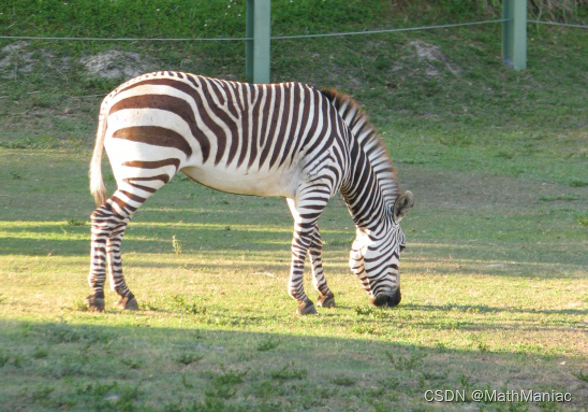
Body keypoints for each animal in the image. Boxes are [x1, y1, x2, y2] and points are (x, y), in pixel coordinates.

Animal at [89, 71, 416, 316]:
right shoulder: (318, 185)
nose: (394, 301)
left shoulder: (299, 191)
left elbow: (313, 240)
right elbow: (302, 242)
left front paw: (325, 294)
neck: (347, 153)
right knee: (103, 218)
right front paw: (302, 300)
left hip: (131, 171)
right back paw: (96, 296)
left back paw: (125, 295)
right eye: (402, 248)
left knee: (117, 224)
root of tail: (113, 95)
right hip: (151, 166)